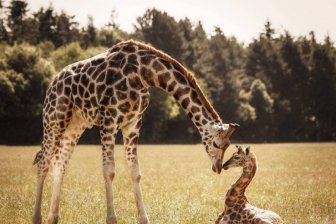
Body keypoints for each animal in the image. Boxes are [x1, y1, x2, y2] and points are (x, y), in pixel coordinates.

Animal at [32, 39, 239, 223]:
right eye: (216, 143)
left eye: (228, 145)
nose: (218, 167)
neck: (144, 73)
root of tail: (52, 83)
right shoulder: (109, 119)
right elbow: (109, 170)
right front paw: (111, 219)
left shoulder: (133, 123)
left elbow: (135, 171)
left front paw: (143, 219)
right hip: (54, 118)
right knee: (43, 163)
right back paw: (36, 218)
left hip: (75, 125)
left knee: (59, 164)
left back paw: (53, 218)